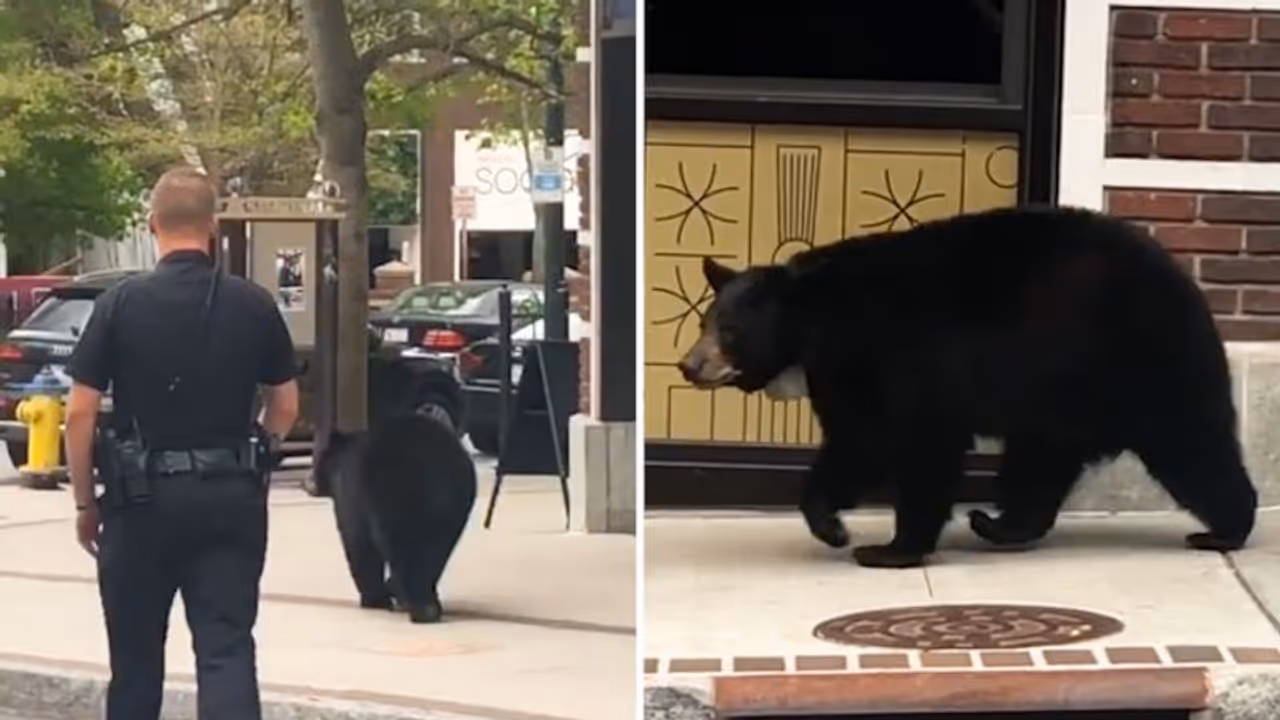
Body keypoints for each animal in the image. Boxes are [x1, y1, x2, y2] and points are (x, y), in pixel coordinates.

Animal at [313, 344, 478, 623]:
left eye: (318, 461)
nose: (310, 483)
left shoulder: (350, 494)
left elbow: (356, 543)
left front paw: (373, 598)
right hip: (456, 503)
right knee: (438, 550)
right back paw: (425, 601)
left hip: (392, 492)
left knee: (401, 546)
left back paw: (416, 604)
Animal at [677, 205, 1258, 569]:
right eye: (705, 321)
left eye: (729, 330)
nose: (689, 365)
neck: (817, 320)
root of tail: (1180, 276)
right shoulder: (846, 371)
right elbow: (858, 442)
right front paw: (838, 525)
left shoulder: (891, 355)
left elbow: (899, 442)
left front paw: (882, 547)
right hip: (1059, 394)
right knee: (1040, 462)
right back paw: (998, 524)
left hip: (1136, 360)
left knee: (1190, 440)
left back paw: (1224, 528)